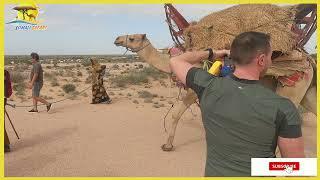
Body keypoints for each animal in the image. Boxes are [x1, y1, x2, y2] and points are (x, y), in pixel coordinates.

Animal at [114, 33, 316, 150]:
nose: (116, 39)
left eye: (132, 38)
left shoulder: (194, 89)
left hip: (291, 88)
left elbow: (176, 114)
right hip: (305, 91)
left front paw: (168, 145)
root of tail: (308, 60)